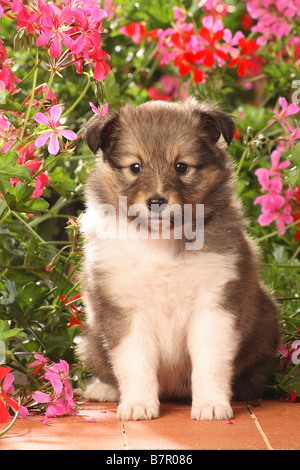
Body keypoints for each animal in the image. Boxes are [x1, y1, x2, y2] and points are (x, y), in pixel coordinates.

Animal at [77, 97, 278, 420]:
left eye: (181, 166)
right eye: (135, 167)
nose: (157, 201)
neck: (159, 240)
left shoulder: (215, 305)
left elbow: (210, 362)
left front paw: (211, 405)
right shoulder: (123, 309)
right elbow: (134, 363)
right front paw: (138, 405)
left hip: (267, 324)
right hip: (91, 341)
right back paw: (103, 389)